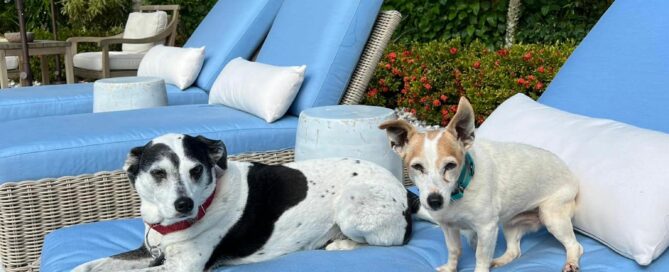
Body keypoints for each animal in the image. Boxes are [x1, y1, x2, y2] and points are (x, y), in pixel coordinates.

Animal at [73, 133, 428, 270]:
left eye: (196, 169)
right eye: (158, 173)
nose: (184, 205)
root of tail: (405, 193)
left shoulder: (182, 268)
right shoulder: (148, 253)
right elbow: (91, 265)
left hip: (352, 205)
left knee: (390, 241)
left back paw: (341, 244)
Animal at [380, 96, 580, 270]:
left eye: (450, 165)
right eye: (417, 167)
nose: (434, 201)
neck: (458, 194)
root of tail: (571, 175)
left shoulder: (487, 229)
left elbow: (481, 258)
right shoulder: (449, 227)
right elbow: (454, 251)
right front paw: (450, 268)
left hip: (552, 217)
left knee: (575, 246)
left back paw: (571, 263)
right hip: (510, 224)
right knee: (514, 251)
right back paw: (498, 261)